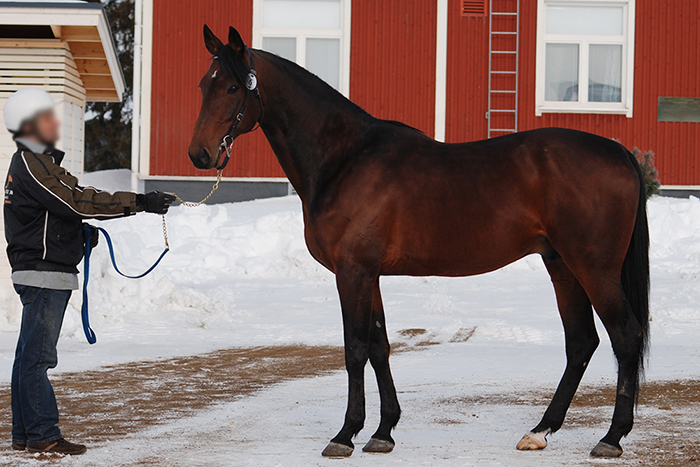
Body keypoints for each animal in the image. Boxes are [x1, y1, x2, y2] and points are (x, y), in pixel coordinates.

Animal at [187, 25, 650, 459]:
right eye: (203, 84)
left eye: (232, 87)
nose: (199, 154)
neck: (344, 159)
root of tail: (619, 152)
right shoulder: (369, 274)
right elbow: (380, 346)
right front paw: (383, 431)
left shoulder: (352, 273)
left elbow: (355, 349)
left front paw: (345, 434)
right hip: (562, 266)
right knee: (581, 342)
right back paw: (540, 431)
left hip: (593, 268)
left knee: (624, 337)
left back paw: (611, 438)